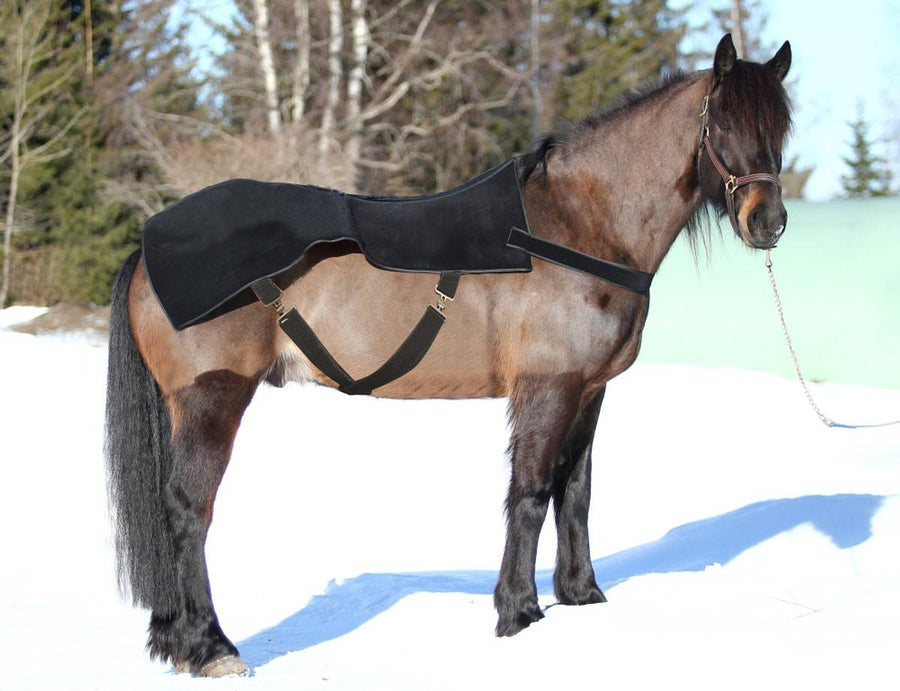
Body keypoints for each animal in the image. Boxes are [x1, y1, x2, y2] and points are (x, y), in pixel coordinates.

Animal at [105, 34, 792, 677]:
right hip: (212, 397)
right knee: (188, 510)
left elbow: (576, 492)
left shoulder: (590, 390)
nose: (768, 222)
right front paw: (519, 613)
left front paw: (582, 597)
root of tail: (149, 247)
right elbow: (531, 493)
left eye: (780, 126)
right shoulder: (548, 386)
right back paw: (210, 647)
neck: (579, 225)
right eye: (721, 123)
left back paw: (175, 640)